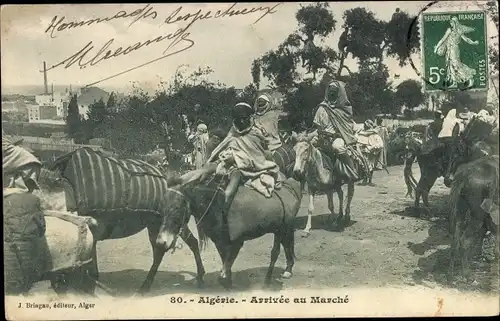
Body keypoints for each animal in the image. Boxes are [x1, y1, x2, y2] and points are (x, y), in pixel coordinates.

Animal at [154, 175, 302, 290]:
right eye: (161, 207)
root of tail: (290, 185)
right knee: (286, 244)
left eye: (177, 208)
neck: (218, 206)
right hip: (282, 230)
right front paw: (228, 282)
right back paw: (288, 270)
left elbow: (225, 269)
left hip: (281, 229)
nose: (161, 241)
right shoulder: (220, 242)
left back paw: (268, 280)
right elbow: (225, 261)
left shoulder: (237, 242)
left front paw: (227, 282)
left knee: (275, 252)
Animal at [448, 154, 498, 284]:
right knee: (463, 241)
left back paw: (450, 275)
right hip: (477, 215)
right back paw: (467, 274)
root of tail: (463, 176)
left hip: (460, 211)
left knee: (455, 240)